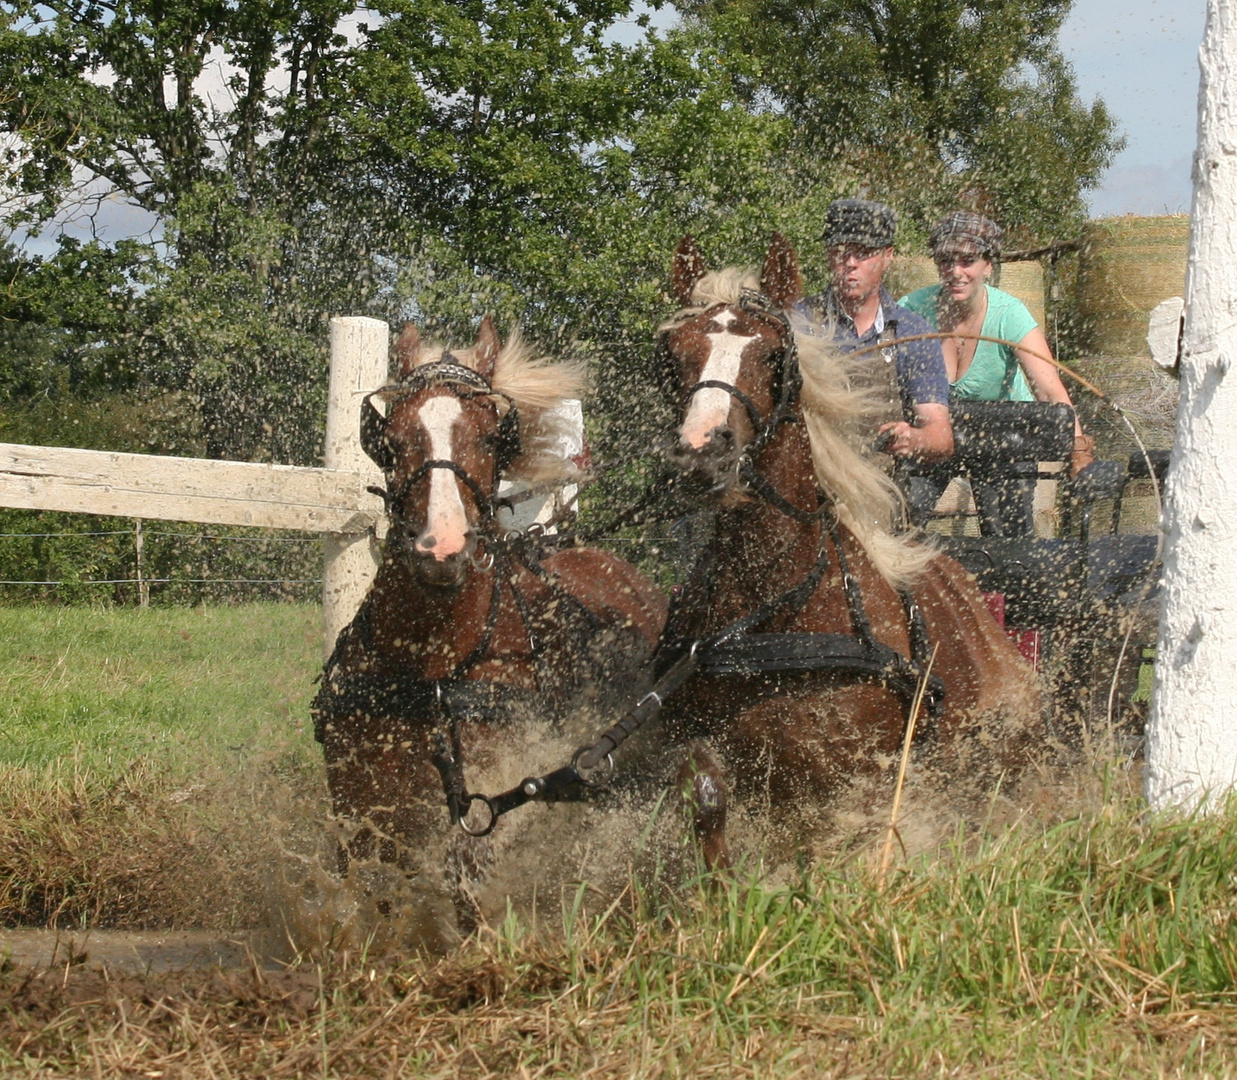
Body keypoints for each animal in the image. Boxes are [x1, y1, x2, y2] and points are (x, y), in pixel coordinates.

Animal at [314, 315, 672, 930]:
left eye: (490, 437)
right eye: (391, 439)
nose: (441, 548)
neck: (430, 666)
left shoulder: (485, 793)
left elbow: (467, 890)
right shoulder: (360, 800)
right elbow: (371, 894)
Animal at [658, 237, 1044, 865]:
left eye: (774, 357)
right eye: (674, 355)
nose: (701, 452)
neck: (774, 608)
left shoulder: (854, 777)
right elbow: (707, 798)